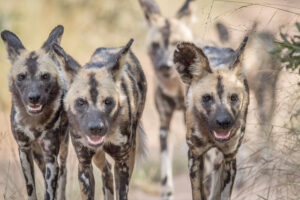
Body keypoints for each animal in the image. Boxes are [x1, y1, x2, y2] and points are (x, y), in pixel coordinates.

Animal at [1, 25, 70, 200]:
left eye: (45, 76)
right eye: (21, 77)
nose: (34, 98)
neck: (34, 123)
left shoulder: (51, 156)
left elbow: (49, 191)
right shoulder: (24, 149)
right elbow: (31, 188)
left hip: (62, 151)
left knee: (62, 176)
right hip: (38, 156)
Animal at [54, 38, 149, 199]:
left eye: (108, 101)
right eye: (81, 102)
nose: (96, 128)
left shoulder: (122, 163)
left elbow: (122, 193)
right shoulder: (84, 164)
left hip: (130, 155)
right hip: (98, 157)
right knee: (106, 171)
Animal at [138, 0, 196, 198]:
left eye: (175, 44)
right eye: (155, 45)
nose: (165, 65)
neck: (174, 87)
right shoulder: (164, 124)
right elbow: (165, 171)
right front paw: (167, 193)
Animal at [173, 36, 248, 199]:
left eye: (233, 98)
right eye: (206, 98)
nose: (224, 122)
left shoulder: (229, 158)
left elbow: (224, 194)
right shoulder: (194, 156)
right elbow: (198, 193)